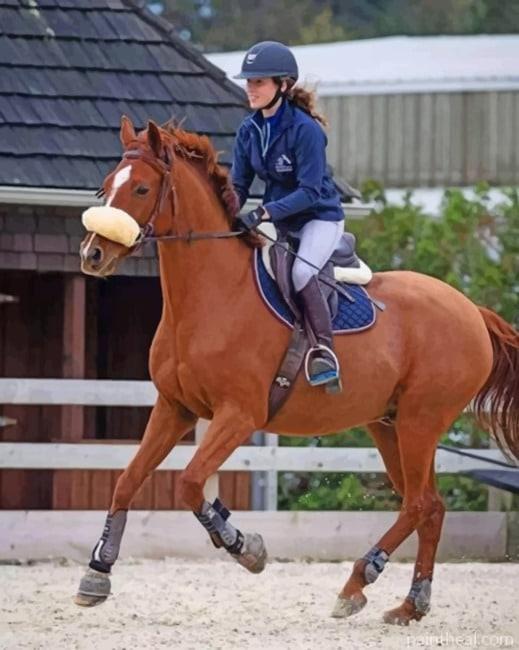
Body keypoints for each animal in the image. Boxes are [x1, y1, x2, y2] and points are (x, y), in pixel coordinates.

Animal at [75, 115, 519, 625]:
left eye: (142, 188)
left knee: (419, 503)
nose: (92, 255)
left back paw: (356, 584)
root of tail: (472, 311)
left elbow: (189, 484)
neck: (210, 297)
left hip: (419, 423)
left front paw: (245, 547)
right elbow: (127, 480)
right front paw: (97, 573)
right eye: (107, 185)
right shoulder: (175, 409)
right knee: (430, 506)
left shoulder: (238, 416)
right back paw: (411, 603)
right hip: (389, 424)